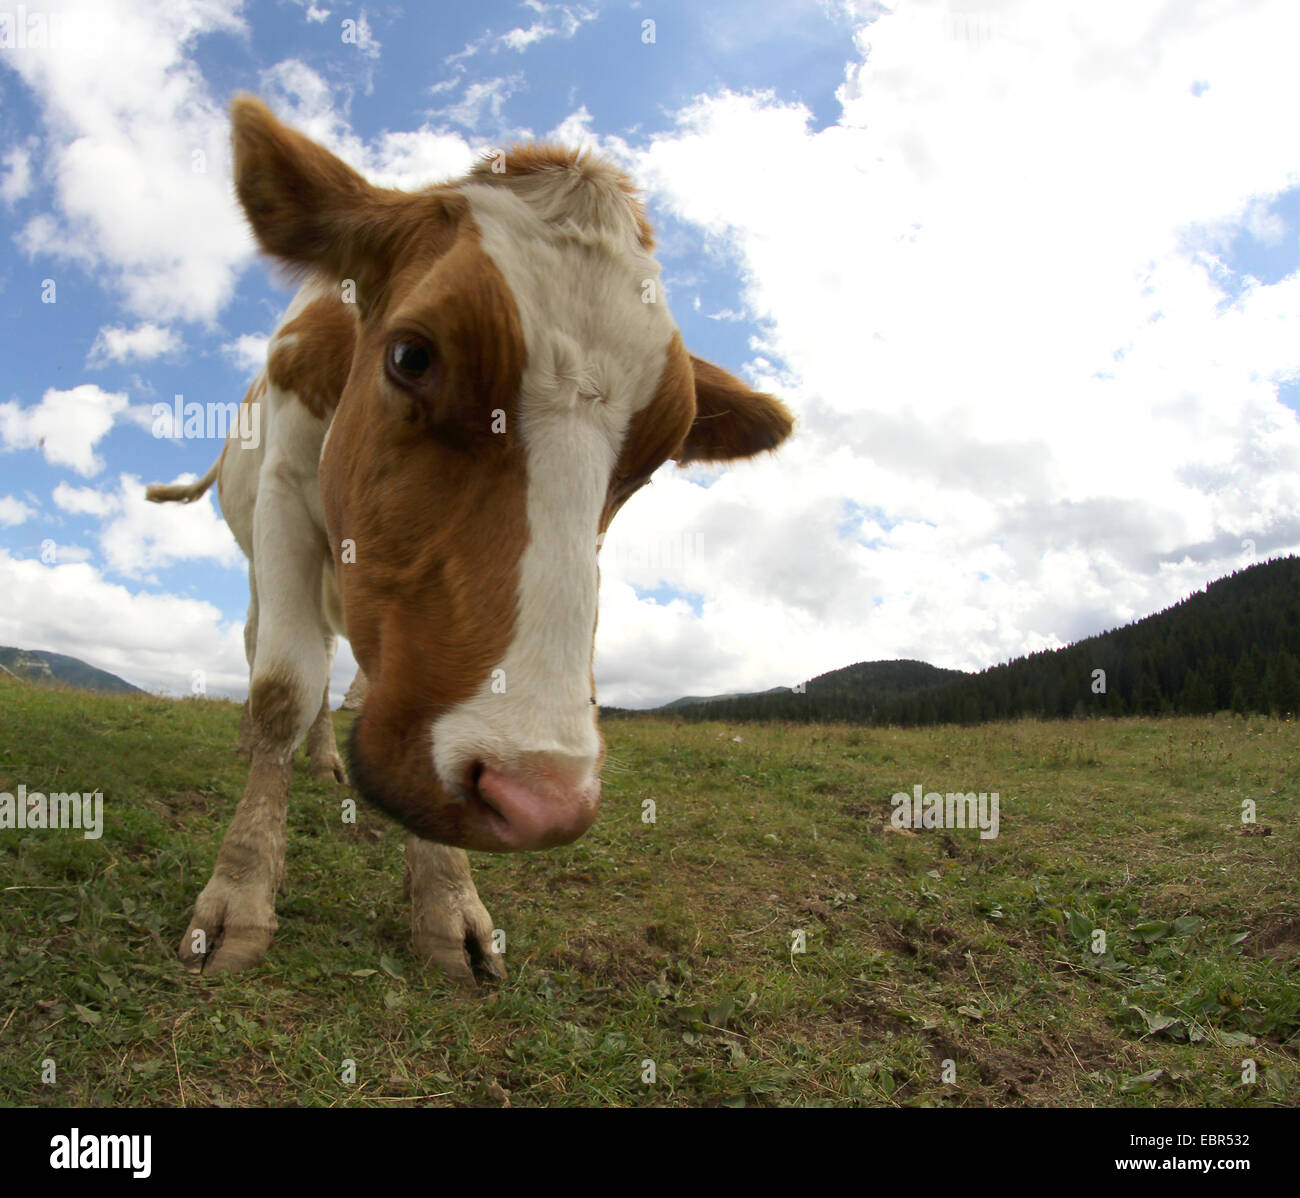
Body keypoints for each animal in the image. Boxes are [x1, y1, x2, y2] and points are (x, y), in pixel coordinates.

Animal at [147, 95, 793, 984]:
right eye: (412, 355)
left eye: (658, 456)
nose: (540, 800)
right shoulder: (284, 496)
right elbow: (282, 685)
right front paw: (240, 894)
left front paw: (447, 900)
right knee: (268, 650)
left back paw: (324, 760)